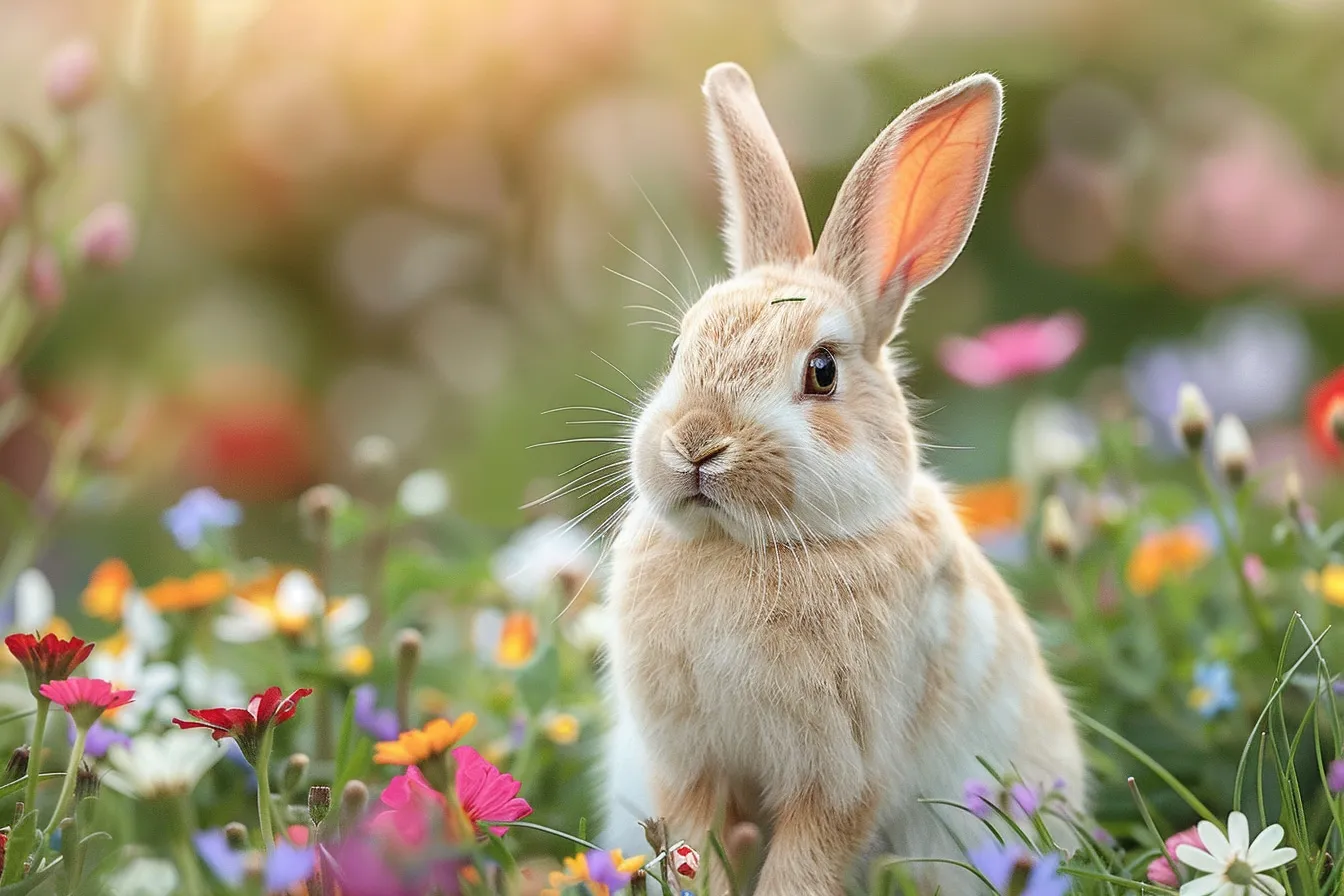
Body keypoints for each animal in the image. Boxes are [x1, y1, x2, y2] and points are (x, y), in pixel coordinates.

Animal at [597, 62, 1086, 894]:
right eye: (680, 350)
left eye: (822, 372)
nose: (696, 445)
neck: (745, 547)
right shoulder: (688, 768)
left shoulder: (842, 776)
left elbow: (804, 865)